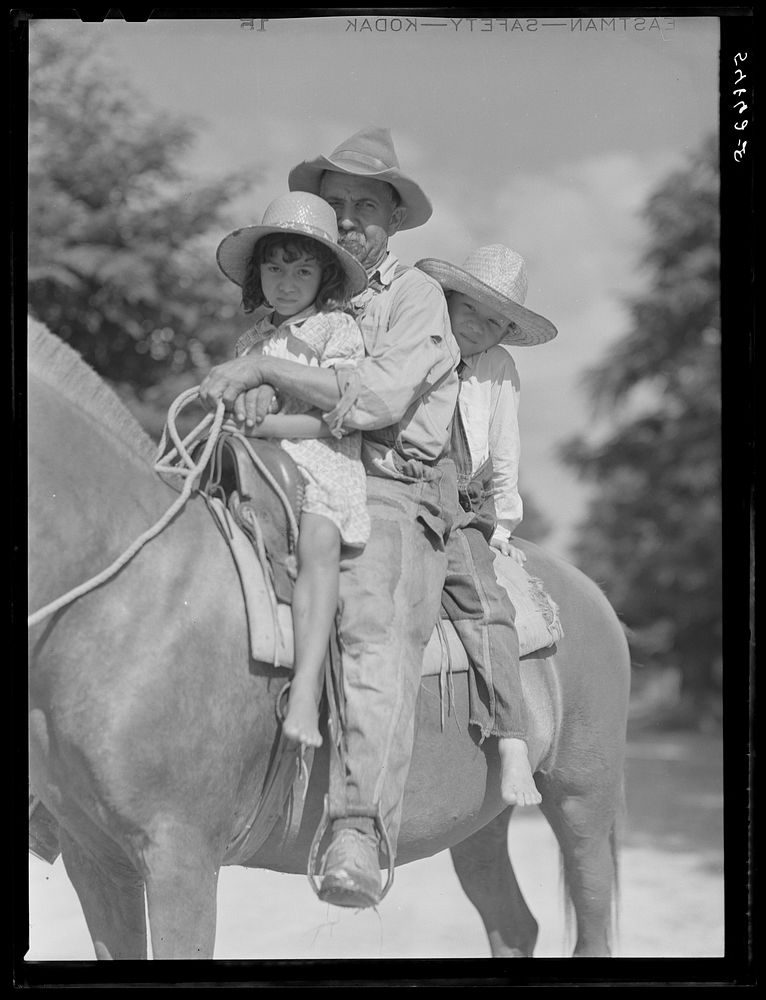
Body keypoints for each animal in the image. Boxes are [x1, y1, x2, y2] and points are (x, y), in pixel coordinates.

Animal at [27, 320, 632, 960]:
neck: (139, 596)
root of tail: (591, 593)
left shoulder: (180, 857)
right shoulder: (97, 860)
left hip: (582, 802)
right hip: (479, 822)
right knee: (514, 924)